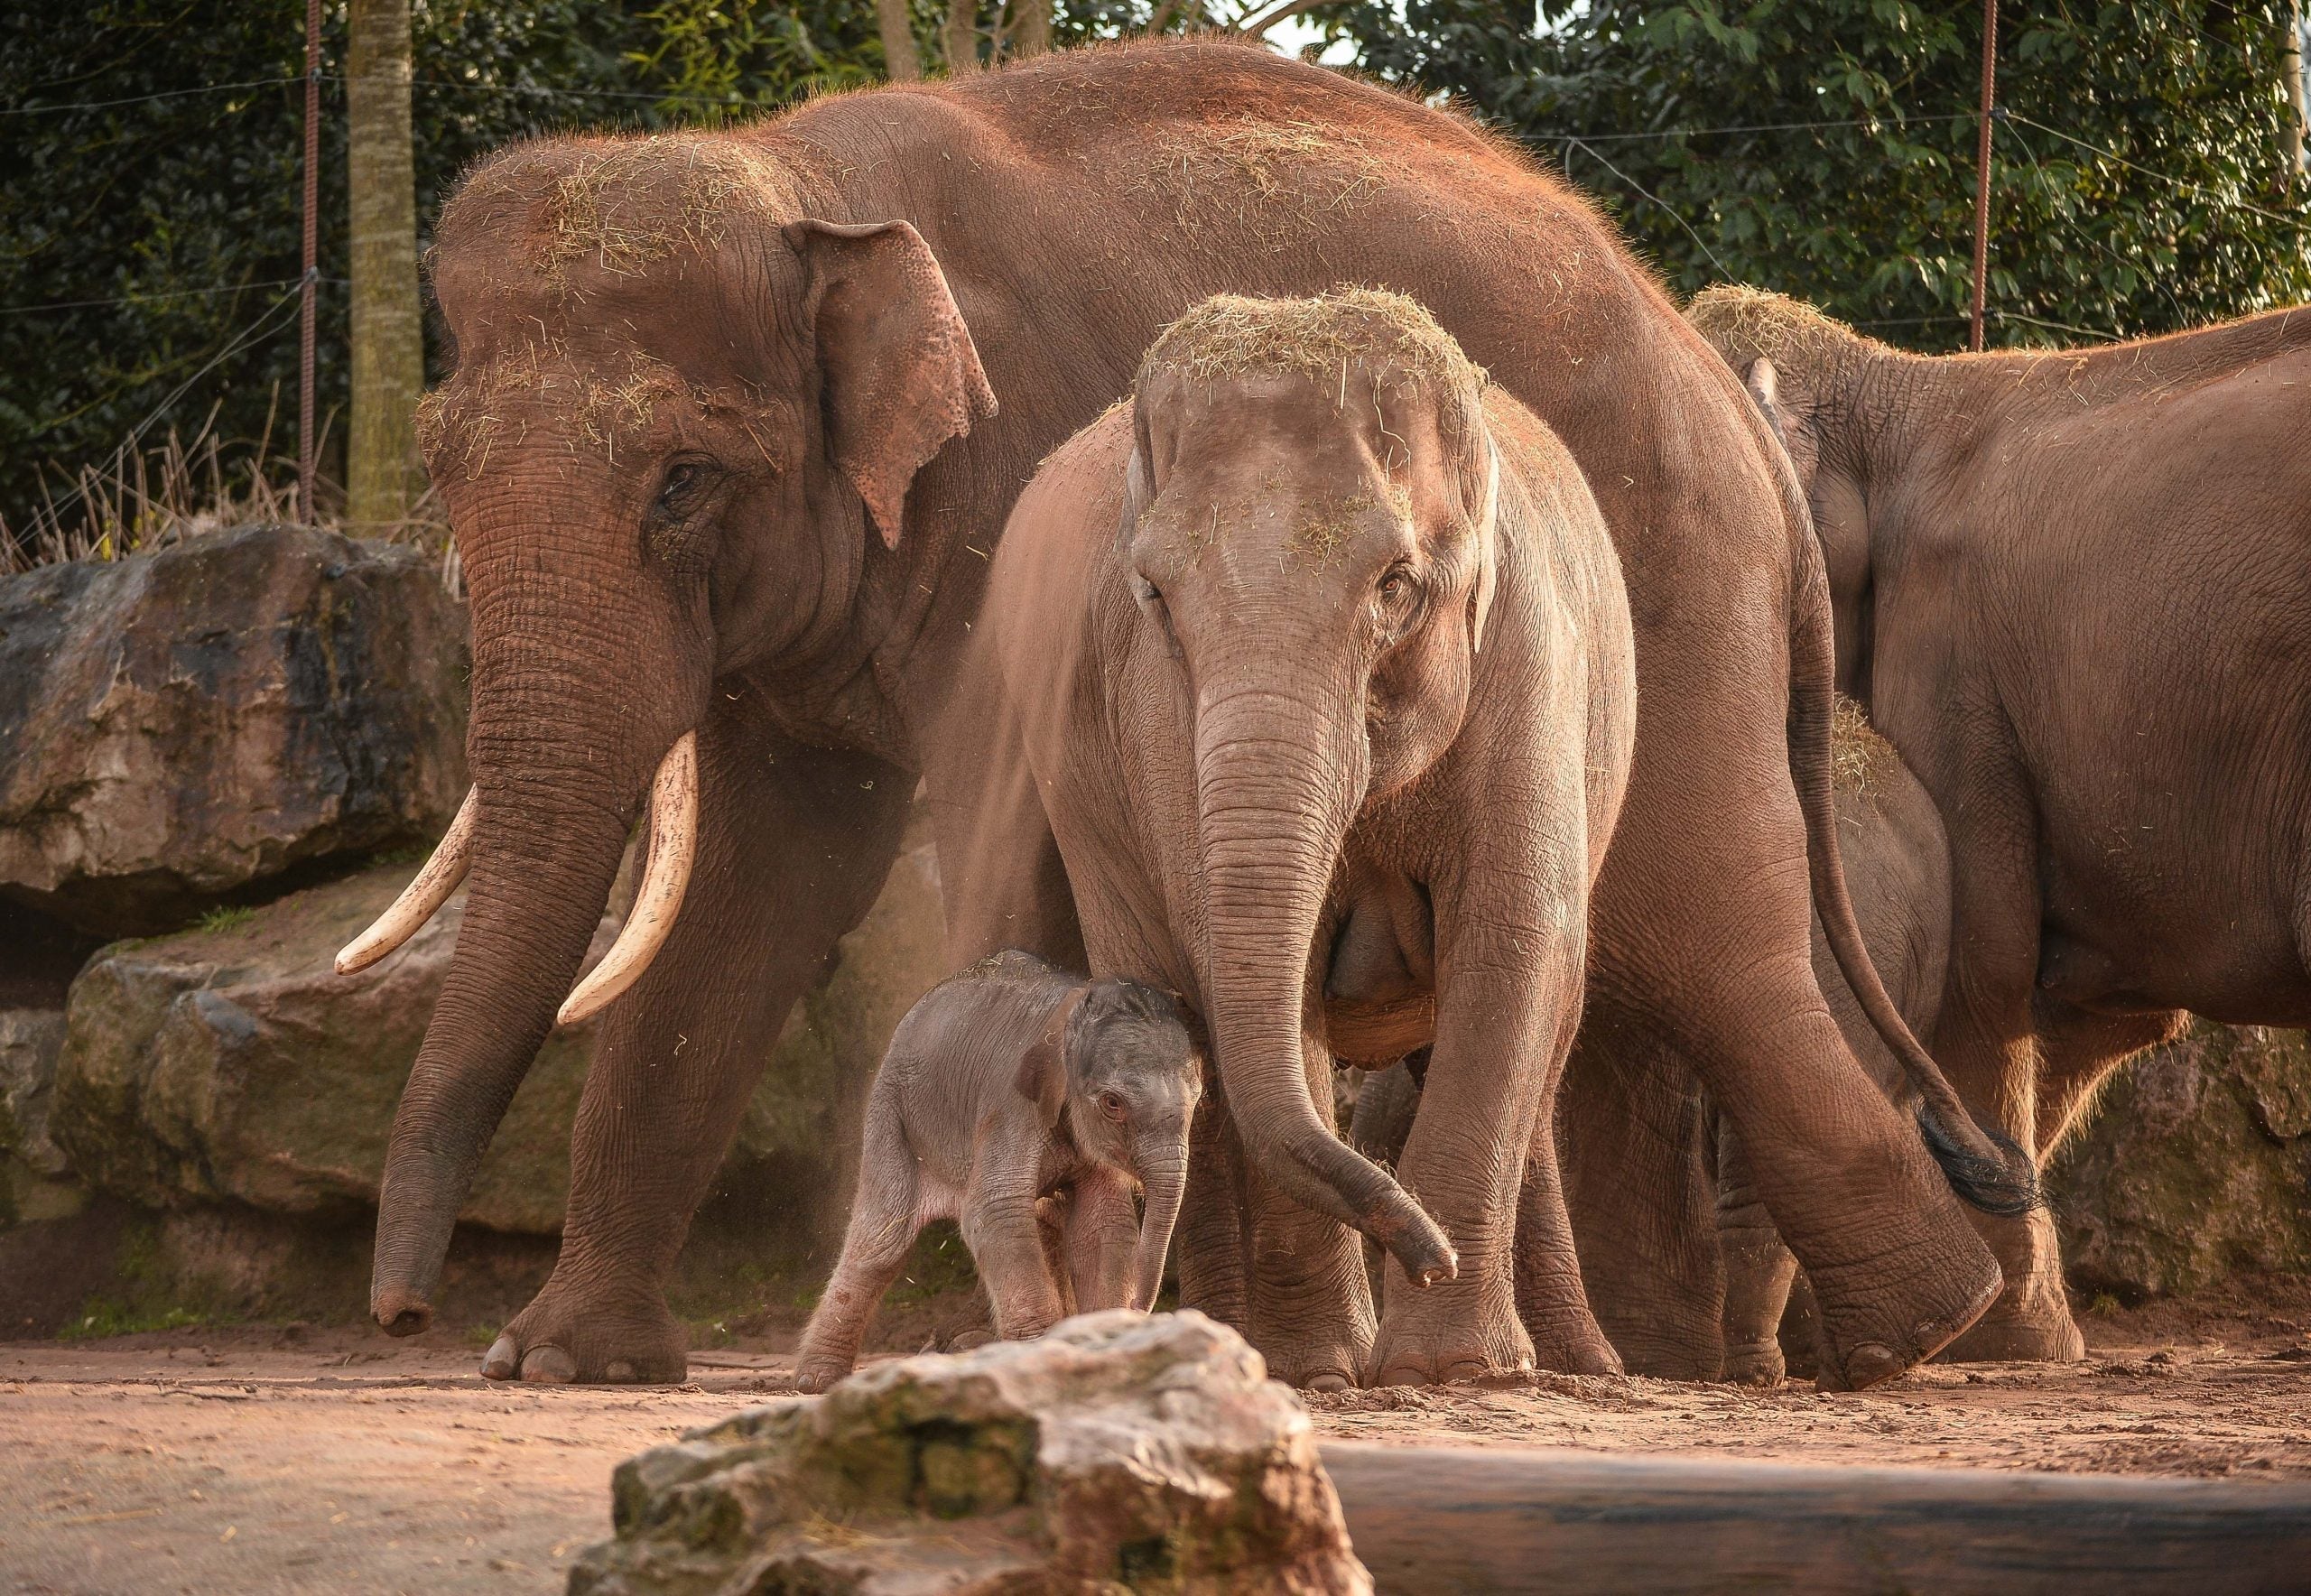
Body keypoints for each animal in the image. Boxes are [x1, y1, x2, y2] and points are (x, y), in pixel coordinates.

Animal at [794, 951, 1201, 1393]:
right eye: (1113, 1103)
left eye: (1198, 1098)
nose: (1141, 1310)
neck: (1068, 1018)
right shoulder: (1009, 1106)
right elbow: (996, 1213)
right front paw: (1036, 1358)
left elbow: (1102, 1226)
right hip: (891, 1114)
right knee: (880, 1243)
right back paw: (816, 1382)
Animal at [979, 289, 1636, 1385]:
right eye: (1154, 596)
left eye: (1395, 586)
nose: (1424, 1252)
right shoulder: (1157, 709)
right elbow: (1242, 967)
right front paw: (1322, 1368)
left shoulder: (1530, 659)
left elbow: (1512, 946)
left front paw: (1449, 1370)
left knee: (1548, 1025)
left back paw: (1583, 1366)